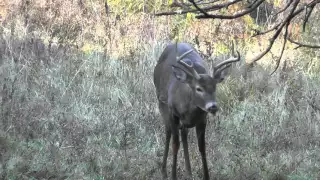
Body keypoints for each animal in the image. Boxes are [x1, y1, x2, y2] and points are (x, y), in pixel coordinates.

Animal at [153, 41, 240, 179]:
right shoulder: (173, 113)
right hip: (161, 103)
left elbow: (202, 147)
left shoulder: (202, 118)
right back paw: (164, 171)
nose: (212, 106)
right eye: (199, 88)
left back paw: (189, 171)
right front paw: (173, 176)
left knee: (184, 134)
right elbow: (175, 145)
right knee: (168, 132)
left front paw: (206, 176)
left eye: (214, 87)